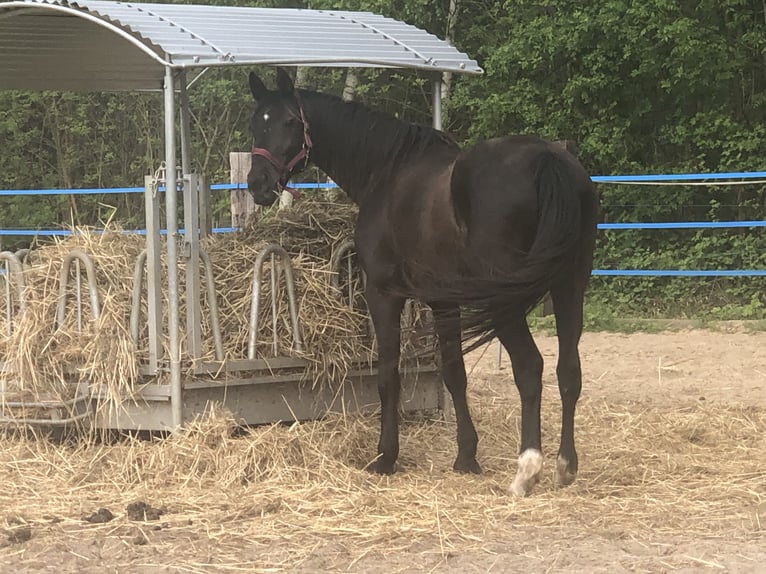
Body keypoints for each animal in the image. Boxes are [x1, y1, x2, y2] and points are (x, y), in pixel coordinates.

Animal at [246, 68, 598, 496]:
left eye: (290, 122)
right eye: (256, 123)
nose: (258, 183)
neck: (387, 170)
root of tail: (548, 158)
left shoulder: (383, 294)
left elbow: (388, 375)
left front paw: (385, 457)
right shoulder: (443, 301)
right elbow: (454, 374)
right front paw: (466, 456)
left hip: (506, 302)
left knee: (530, 368)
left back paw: (526, 471)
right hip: (570, 288)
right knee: (569, 371)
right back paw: (566, 466)